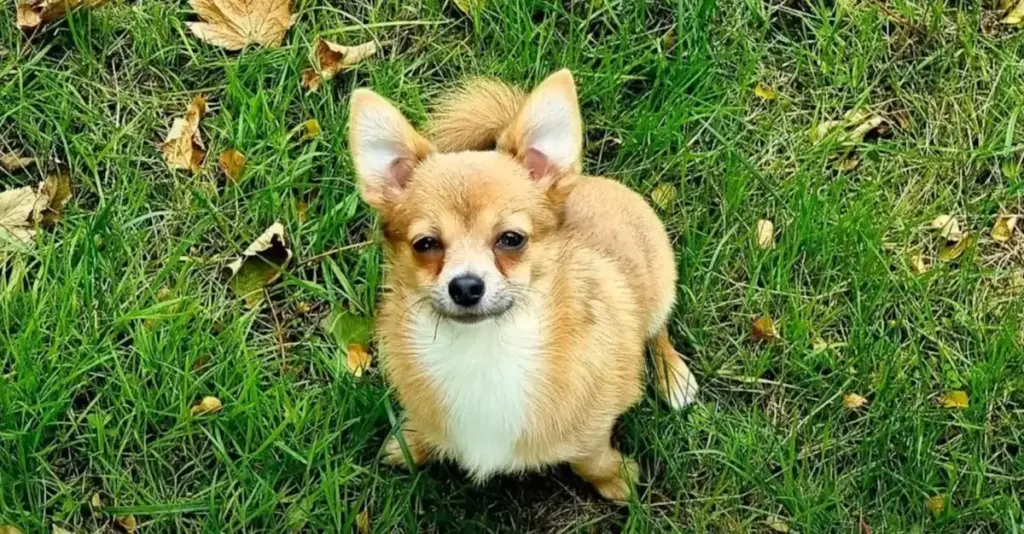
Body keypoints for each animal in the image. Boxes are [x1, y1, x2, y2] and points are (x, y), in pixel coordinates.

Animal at [348, 67, 700, 500]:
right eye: (425, 245)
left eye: (511, 239)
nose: (466, 286)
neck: (484, 350)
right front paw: (412, 444)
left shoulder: (593, 427)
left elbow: (591, 461)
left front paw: (619, 481)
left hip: (658, 290)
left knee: (657, 332)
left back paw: (675, 380)